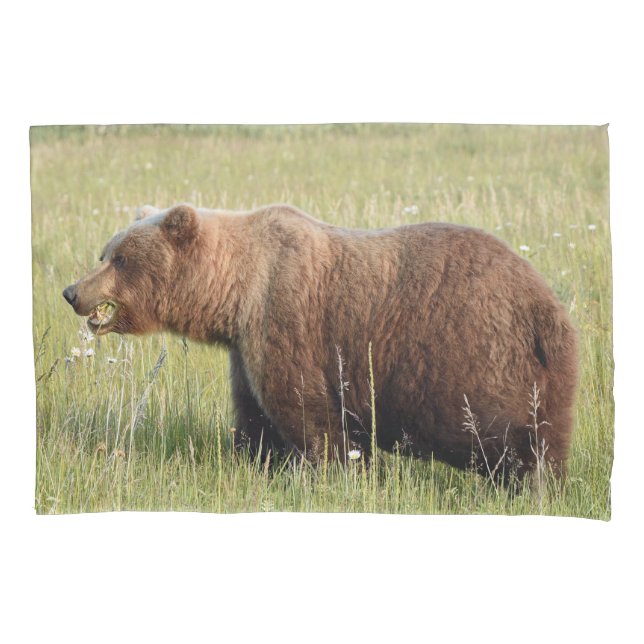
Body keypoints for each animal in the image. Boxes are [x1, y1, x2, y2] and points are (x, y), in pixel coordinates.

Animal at [63, 203, 578, 482]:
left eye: (121, 258)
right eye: (105, 252)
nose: (72, 291)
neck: (235, 291)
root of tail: (547, 306)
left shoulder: (287, 320)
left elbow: (309, 414)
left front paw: (333, 470)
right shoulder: (245, 349)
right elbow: (255, 417)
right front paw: (256, 460)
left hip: (479, 356)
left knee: (507, 440)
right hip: (546, 374)